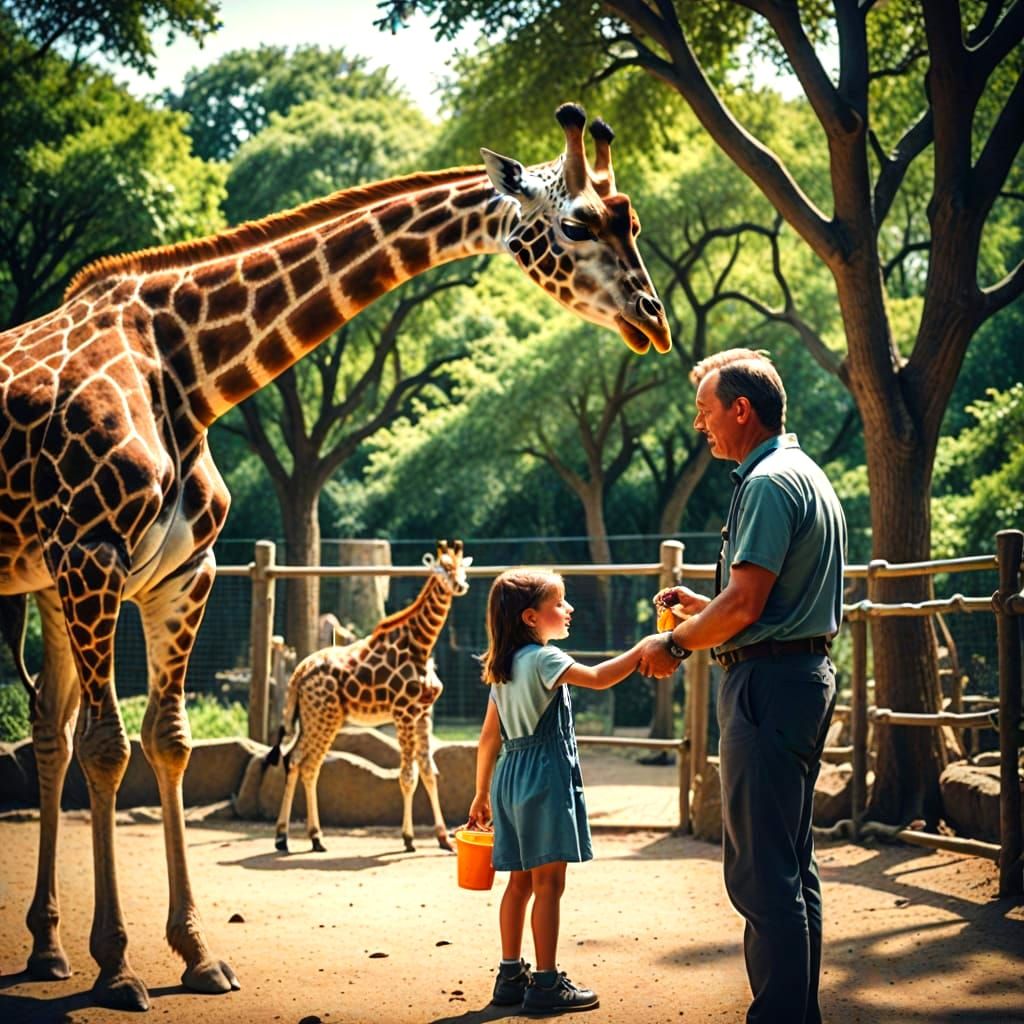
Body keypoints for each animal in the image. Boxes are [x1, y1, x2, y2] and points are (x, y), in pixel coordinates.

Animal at [265, 539, 470, 854]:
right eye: (443, 567)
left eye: (462, 566)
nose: (460, 585)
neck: (422, 644)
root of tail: (298, 674)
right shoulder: (403, 713)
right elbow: (407, 776)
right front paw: (408, 839)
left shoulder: (423, 714)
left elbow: (429, 772)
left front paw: (444, 839)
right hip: (324, 719)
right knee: (307, 764)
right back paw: (302, 837)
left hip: (313, 719)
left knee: (295, 760)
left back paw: (296, 836)